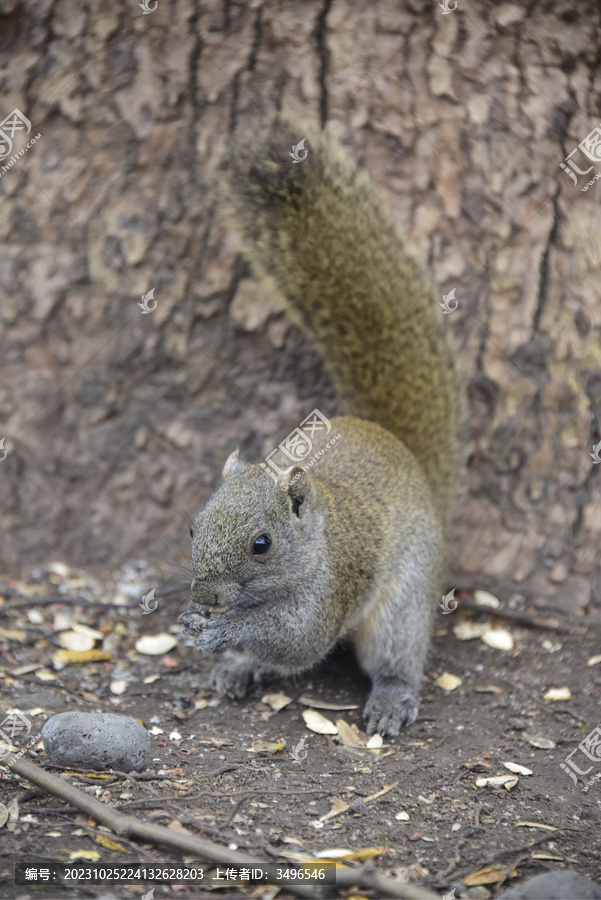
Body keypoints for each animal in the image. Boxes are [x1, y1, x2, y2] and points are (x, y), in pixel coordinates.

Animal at [179, 126, 468, 736]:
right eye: (194, 528)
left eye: (261, 545)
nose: (206, 597)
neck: (315, 537)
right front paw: (196, 622)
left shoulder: (329, 591)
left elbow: (296, 640)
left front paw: (224, 632)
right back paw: (239, 670)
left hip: (403, 605)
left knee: (396, 655)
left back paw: (392, 697)